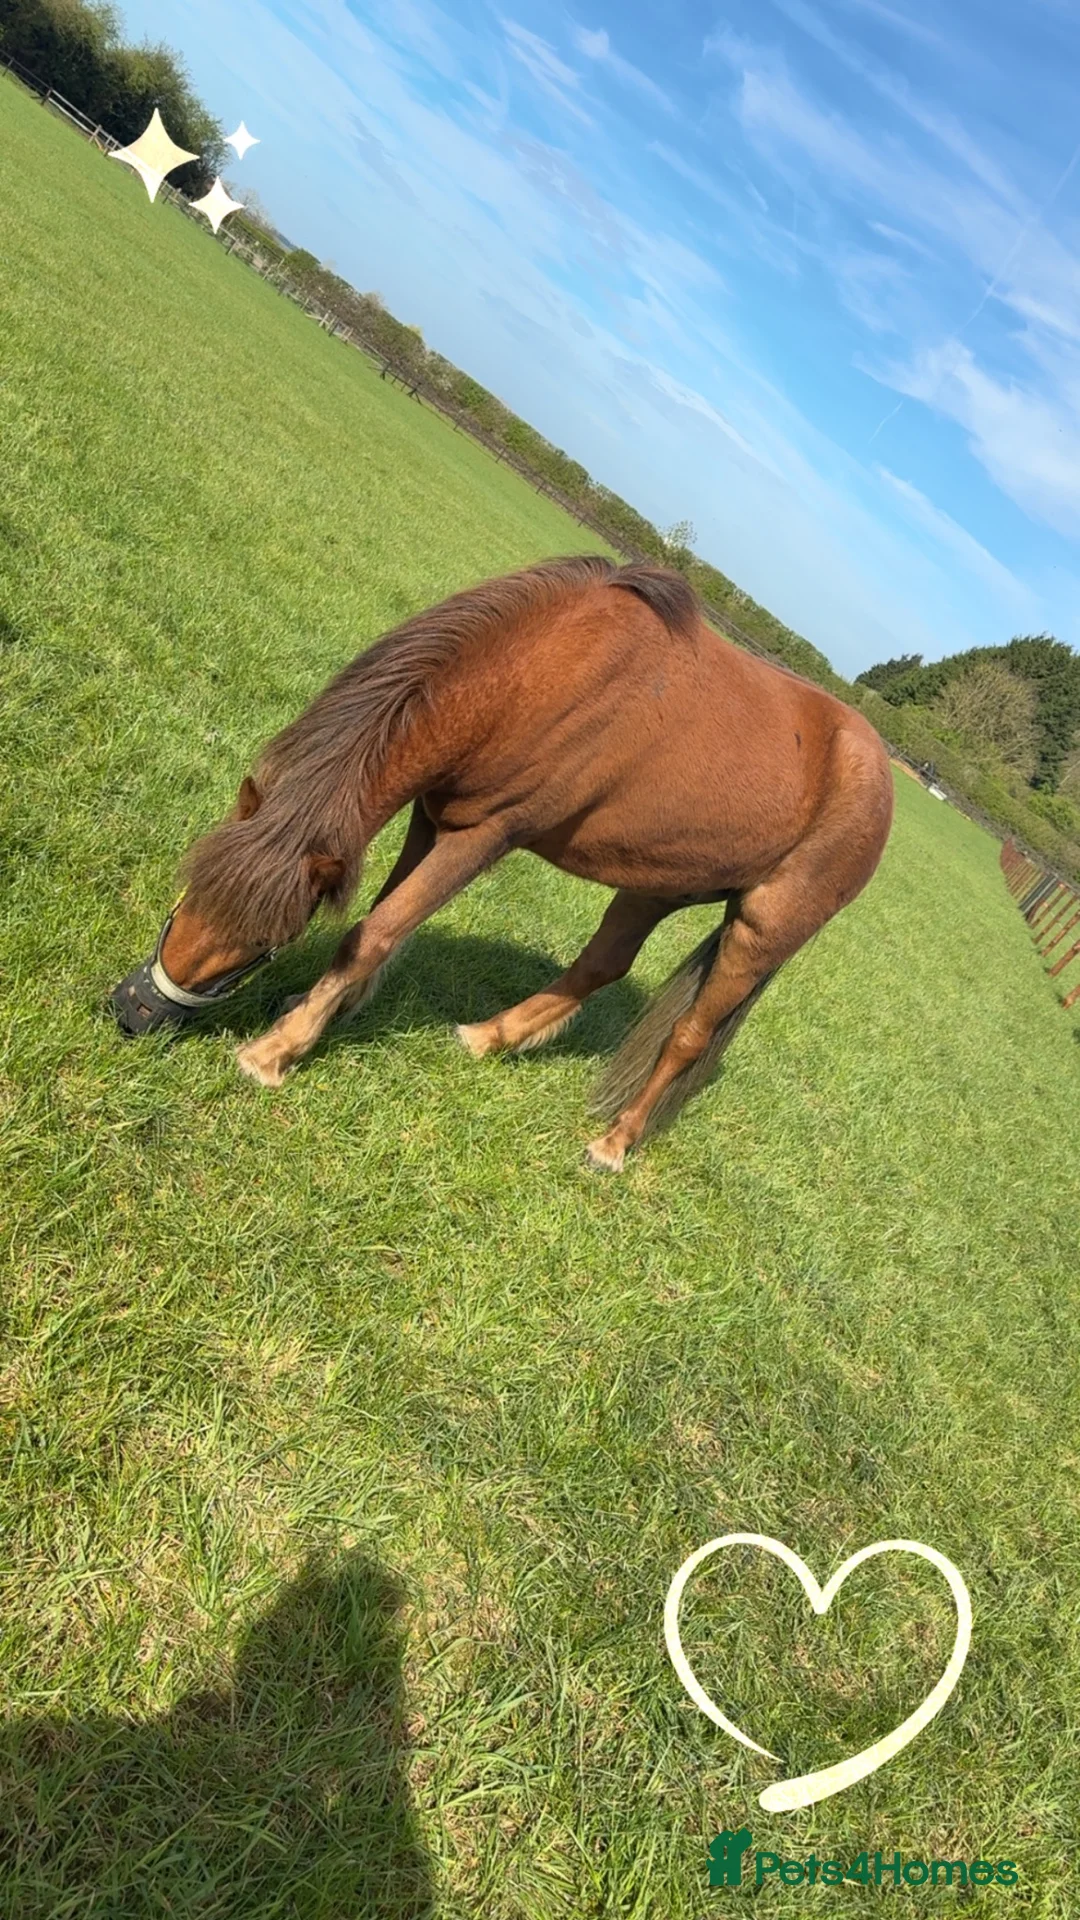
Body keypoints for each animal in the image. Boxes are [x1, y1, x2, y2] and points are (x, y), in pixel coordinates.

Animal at [111, 555, 894, 1170]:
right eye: (188, 894)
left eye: (265, 941)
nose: (131, 1010)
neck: (543, 672)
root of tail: (879, 774)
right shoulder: (433, 814)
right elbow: (381, 919)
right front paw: (323, 1009)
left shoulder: (485, 835)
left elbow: (377, 933)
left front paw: (276, 1051)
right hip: (657, 884)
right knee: (601, 965)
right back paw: (489, 1038)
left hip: (763, 929)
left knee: (690, 1035)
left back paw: (614, 1144)